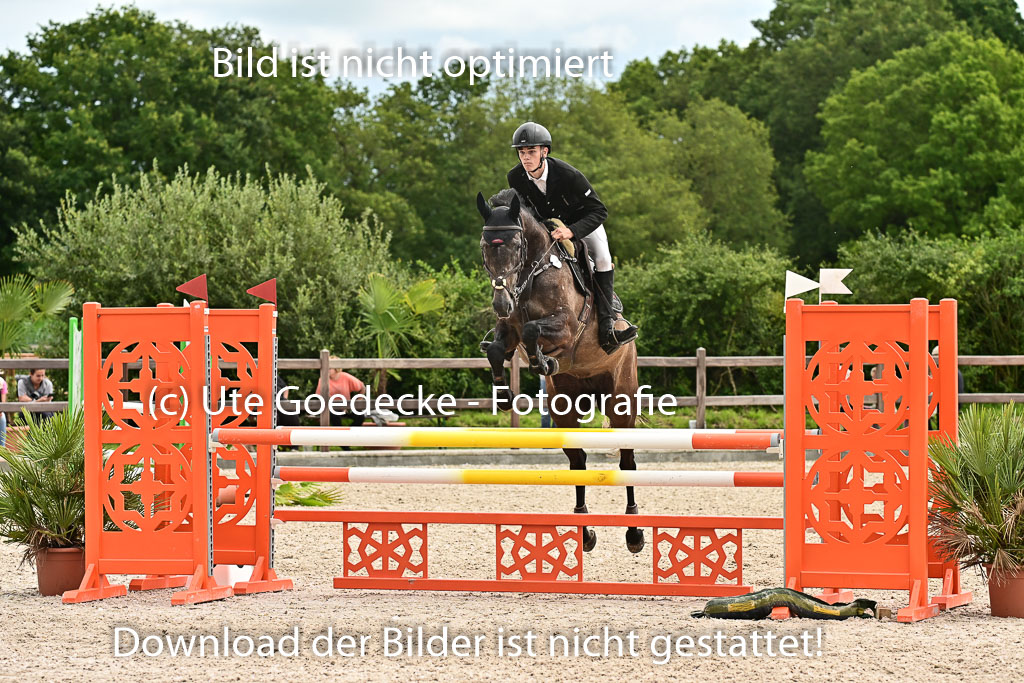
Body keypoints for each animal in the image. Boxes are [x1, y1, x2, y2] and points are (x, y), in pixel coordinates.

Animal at [476, 189, 644, 554]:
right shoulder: (508, 329)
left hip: (621, 398)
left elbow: (533, 331)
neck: (530, 277)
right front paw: (503, 394)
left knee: (626, 461)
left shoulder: (566, 326)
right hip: (565, 406)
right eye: (484, 248)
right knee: (578, 461)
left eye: (516, 245)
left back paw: (634, 533)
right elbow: (498, 348)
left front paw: (543, 361)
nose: (500, 303)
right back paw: (585, 531)